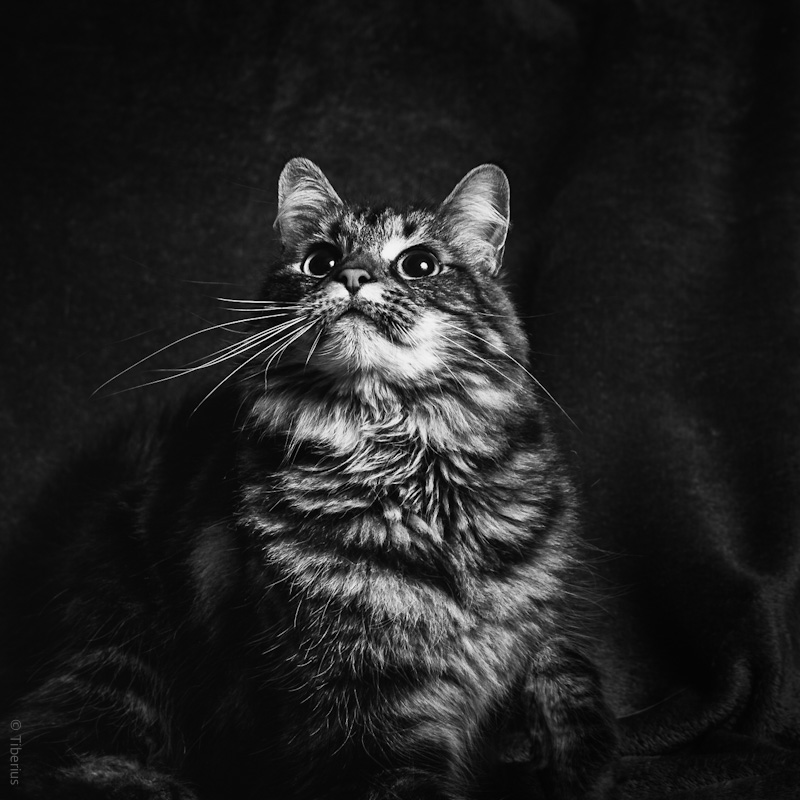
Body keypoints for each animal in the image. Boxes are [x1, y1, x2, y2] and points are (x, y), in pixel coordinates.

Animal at [0, 159, 617, 799]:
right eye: (320, 261)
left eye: (419, 264)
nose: (351, 276)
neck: (412, 475)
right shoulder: (361, 705)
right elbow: (405, 779)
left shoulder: (547, 625)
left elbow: (571, 689)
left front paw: (565, 766)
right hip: (122, 655)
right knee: (65, 752)